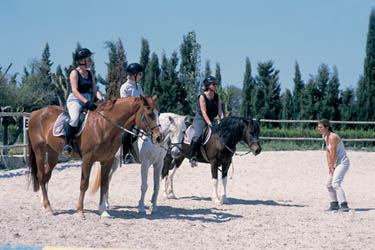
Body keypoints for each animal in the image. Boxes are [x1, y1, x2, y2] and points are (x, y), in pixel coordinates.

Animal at [26, 95, 162, 217]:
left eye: (158, 113)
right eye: (150, 114)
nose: (159, 137)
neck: (104, 125)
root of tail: (35, 113)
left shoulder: (107, 160)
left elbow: (104, 184)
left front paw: (103, 211)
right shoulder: (88, 159)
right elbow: (84, 184)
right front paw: (80, 211)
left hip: (53, 154)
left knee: (46, 177)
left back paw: (46, 205)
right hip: (40, 151)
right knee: (41, 176)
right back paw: (48, 208)